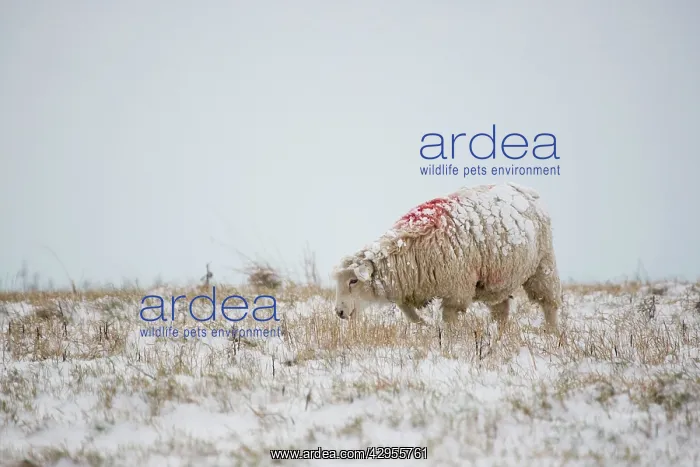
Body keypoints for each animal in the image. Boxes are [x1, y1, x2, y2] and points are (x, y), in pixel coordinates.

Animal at [332, 182, 562, 333]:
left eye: (353, 281)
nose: (339, 312)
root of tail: (526, 190)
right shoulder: (412, 287)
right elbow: (407, 311)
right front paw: (425, 326)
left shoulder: (456, 290)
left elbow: (449, 318)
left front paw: (448, 339)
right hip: (498, 279)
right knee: (501, 310)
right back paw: (500, 334)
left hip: (543, 266)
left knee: (549, 303)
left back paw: (551, 333)